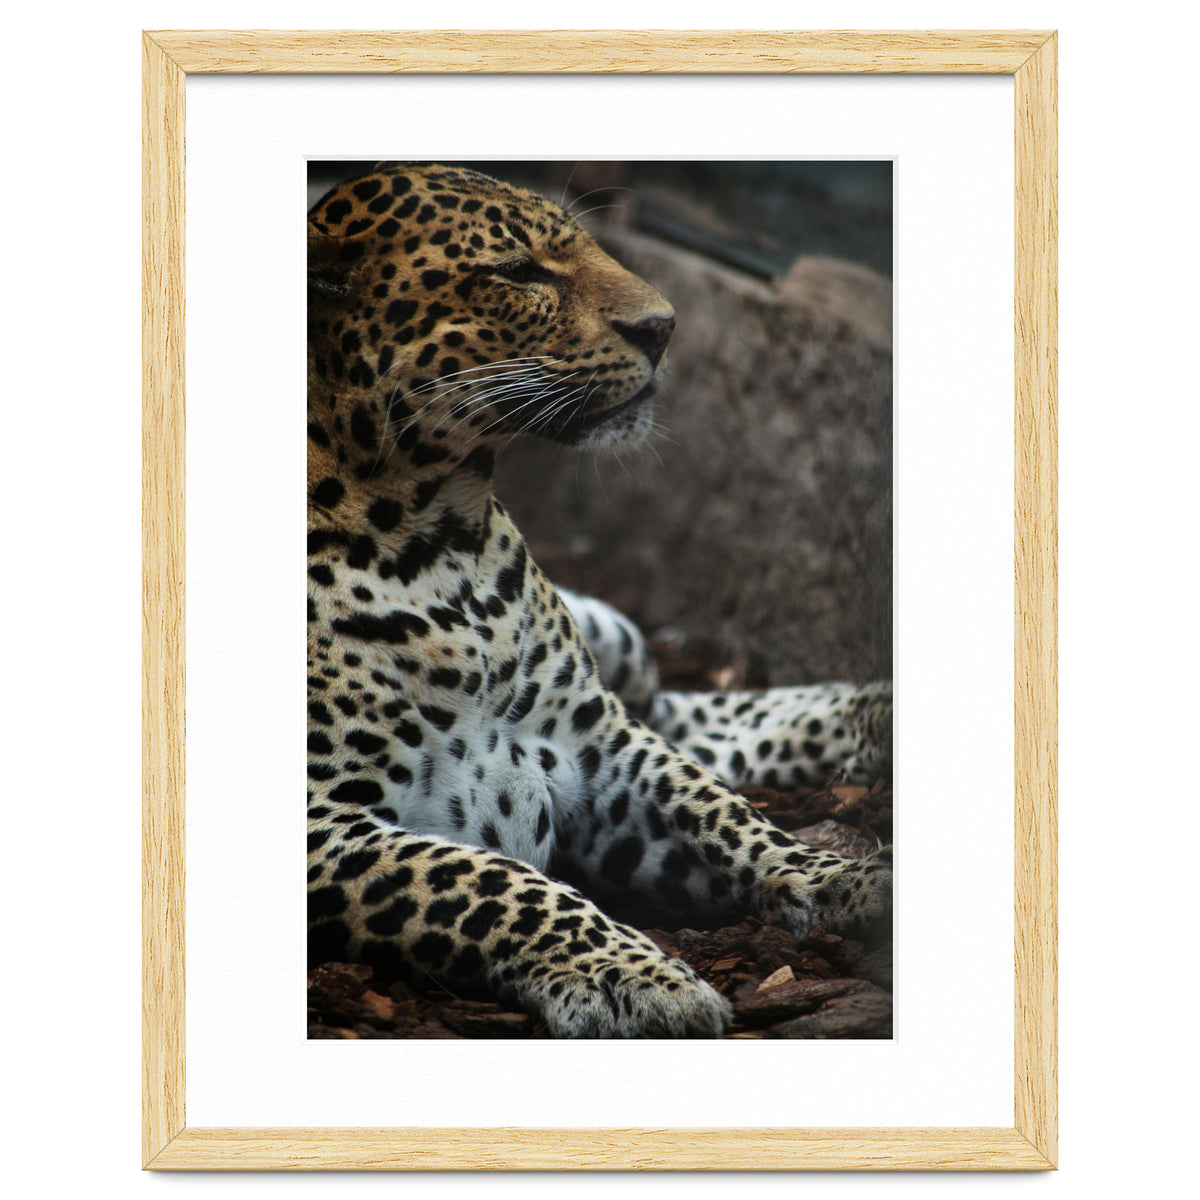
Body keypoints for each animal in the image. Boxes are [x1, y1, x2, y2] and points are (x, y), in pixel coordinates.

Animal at [307, 162, 893, 1038]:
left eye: (583, 245)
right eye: (517, 272)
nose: (665, 327)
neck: (440, 541)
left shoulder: (597, 744)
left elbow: (722, 811)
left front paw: (843, 879)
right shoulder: (322, 824)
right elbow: (490, 882)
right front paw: (634, 977)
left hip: (619, 650)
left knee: (681, 714)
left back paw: (875, 713)